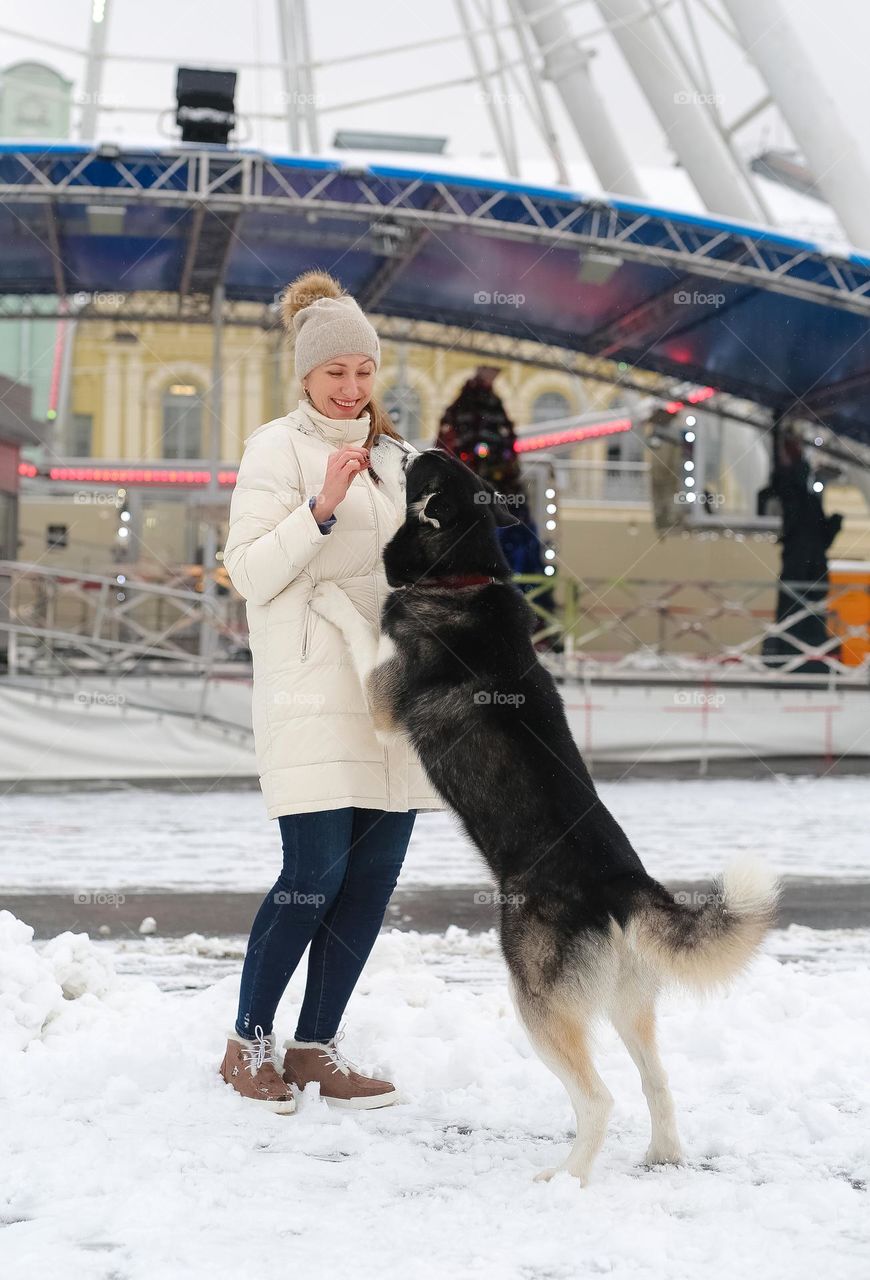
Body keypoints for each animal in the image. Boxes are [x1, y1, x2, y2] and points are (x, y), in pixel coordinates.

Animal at [309, 435, 777, 1182]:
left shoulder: (382, 694)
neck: (461, 579)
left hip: (535, 996)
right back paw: (662, 1155)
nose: (380, 438)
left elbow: (360, 629)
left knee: (600, 1098)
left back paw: (566, 1179)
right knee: (656, 1081)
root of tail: (626, 884)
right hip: (627, 1003)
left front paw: (327, 595)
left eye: (413, 463)